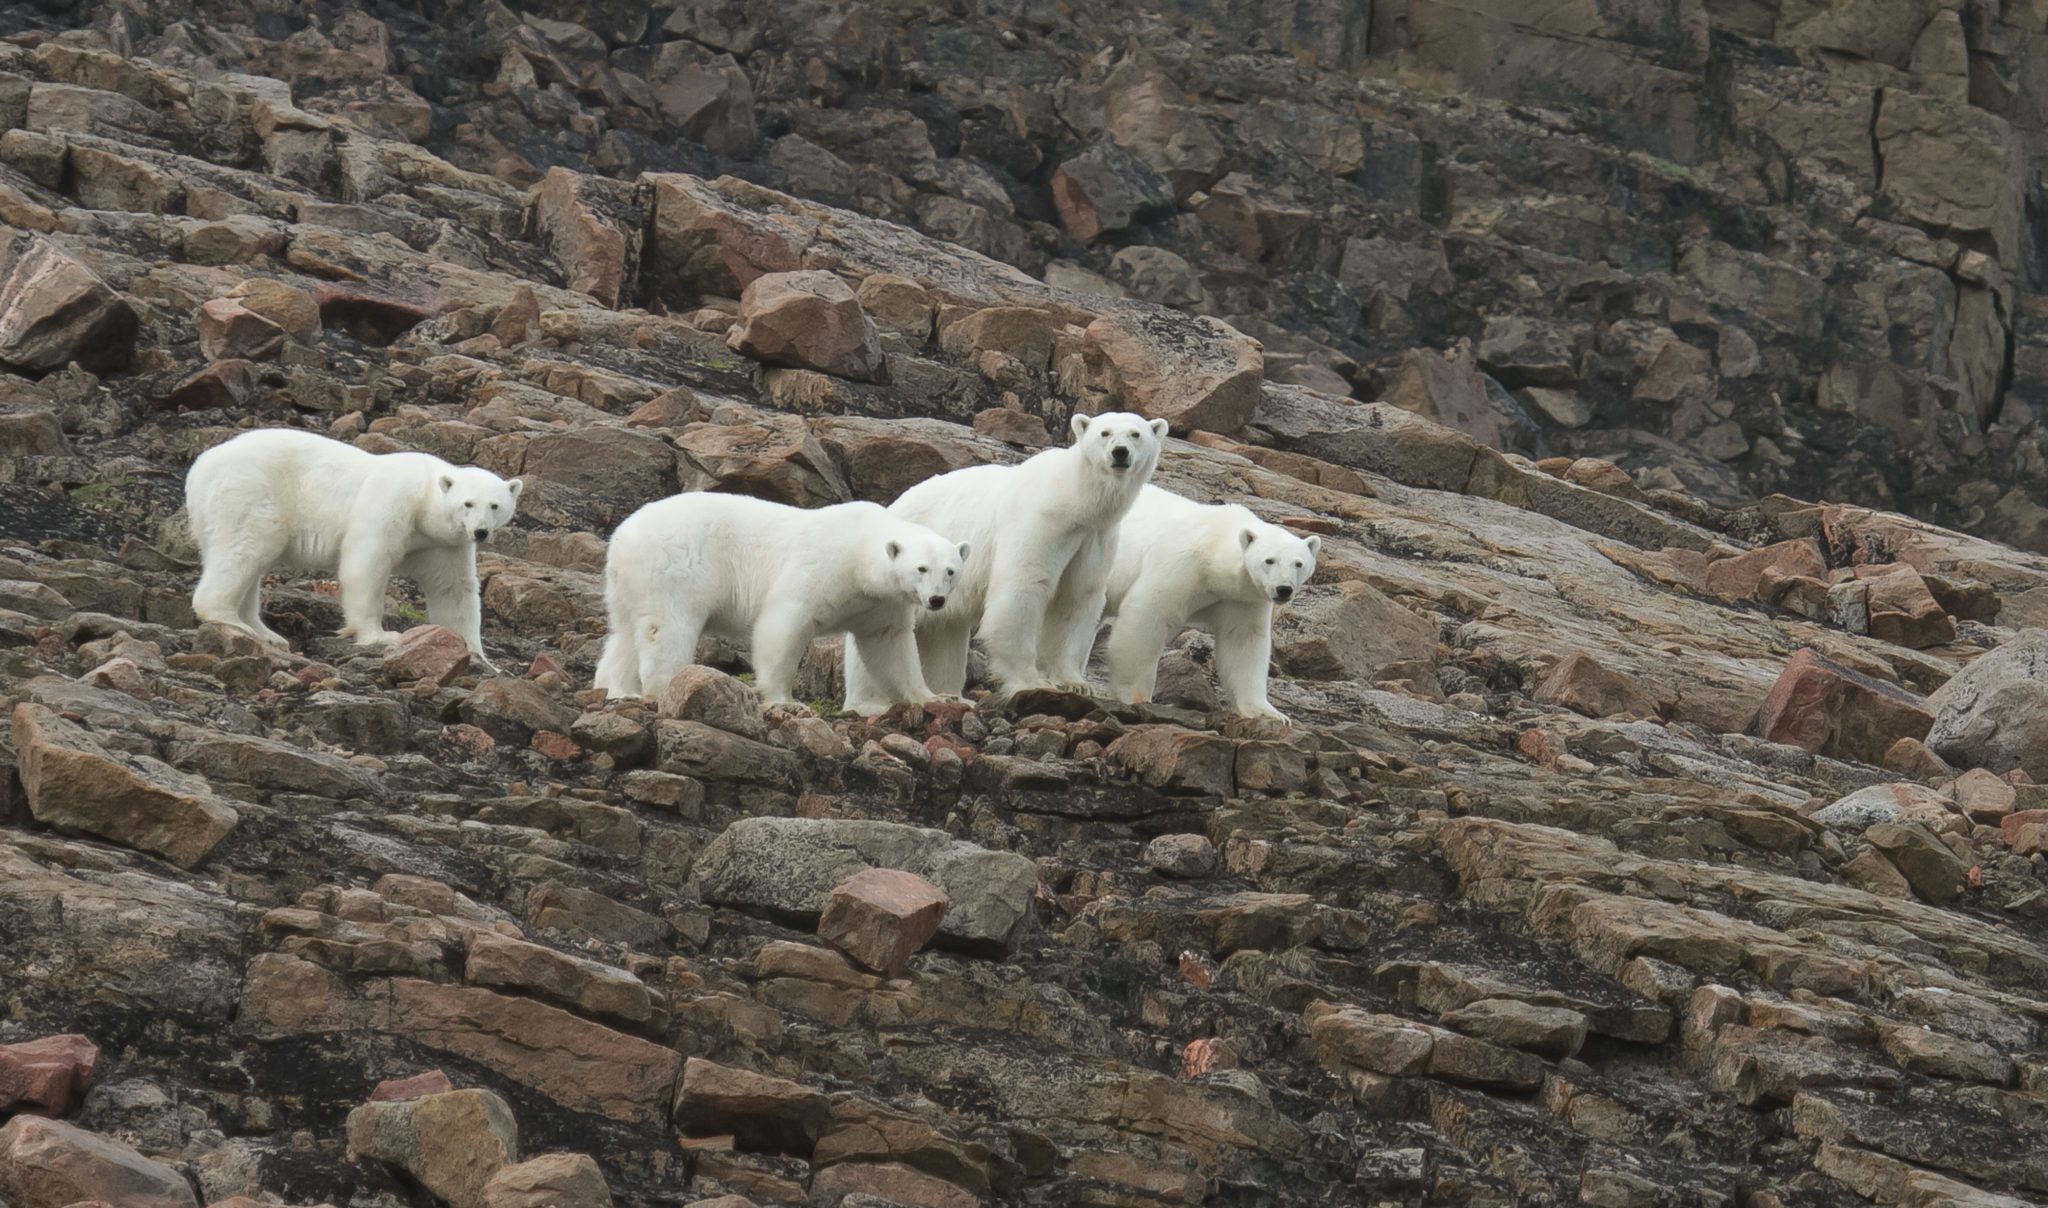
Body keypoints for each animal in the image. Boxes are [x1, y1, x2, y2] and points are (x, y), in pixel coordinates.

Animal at [186, 429, 520, 667]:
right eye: (468, 503)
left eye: (495, 505)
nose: (480, 532)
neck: (425, 500)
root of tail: (200, 467)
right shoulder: (392, 503)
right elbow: (367, 565)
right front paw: (381, 636)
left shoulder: (444, 544)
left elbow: (453, 588)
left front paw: (481, 658)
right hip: (250, 490)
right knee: (245, 548)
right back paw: (228, 619)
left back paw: (266, 633)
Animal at [593, 491, 966, 708]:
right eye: (921, 568)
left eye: (950, 571)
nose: (936, 600)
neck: (860, 551)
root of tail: (622, 535)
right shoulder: (823, 568)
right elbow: (784, 623)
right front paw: (785, 700)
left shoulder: (879, 603)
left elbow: (891, 646)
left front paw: (935, 698)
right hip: (674, 568)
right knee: (668, 627)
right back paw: (663, 687)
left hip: (626, 585)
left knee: (624, 634)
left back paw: (619, 689)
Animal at [843, 413, 1171, 708]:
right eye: (1105, 433)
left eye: (1135, 434)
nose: (1120, 453)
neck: (1075, 498)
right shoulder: (1041, 520)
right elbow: (1024, 586)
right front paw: (1031, 682)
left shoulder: (1095, 537)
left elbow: (1077, 596)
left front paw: (1075, 683)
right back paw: (871, 702)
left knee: (944, 633)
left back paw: (953, 693)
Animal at [1097, 487, 1318, 724]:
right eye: (1269, 560)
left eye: (1298, 563)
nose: (1284, 589)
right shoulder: (1181, 565)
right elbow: (1148, 617)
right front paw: (1136, 697)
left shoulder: (1241, 598)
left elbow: (1243, 641)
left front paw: (1269, 713)